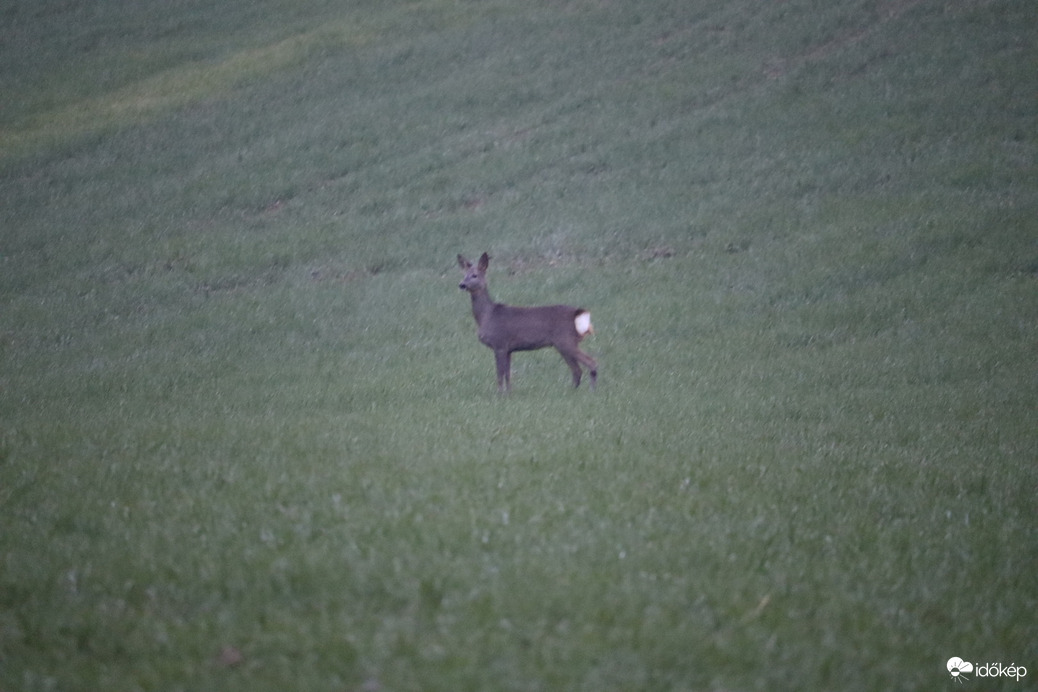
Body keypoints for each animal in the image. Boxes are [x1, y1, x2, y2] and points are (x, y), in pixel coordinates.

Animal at [456, 253, 597, 394]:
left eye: (474, 275)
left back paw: (590, 390)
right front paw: (509, 392)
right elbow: (508, 374)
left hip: (565, 340)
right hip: (564, 344)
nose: (462, 285)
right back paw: (571, 390)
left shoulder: (499, 343)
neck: (487, 315)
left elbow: (500, 374)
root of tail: (577, 314)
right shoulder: (508, 349)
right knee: (577, 370)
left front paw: (499, 393)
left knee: (591, 362)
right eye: (464, 274)